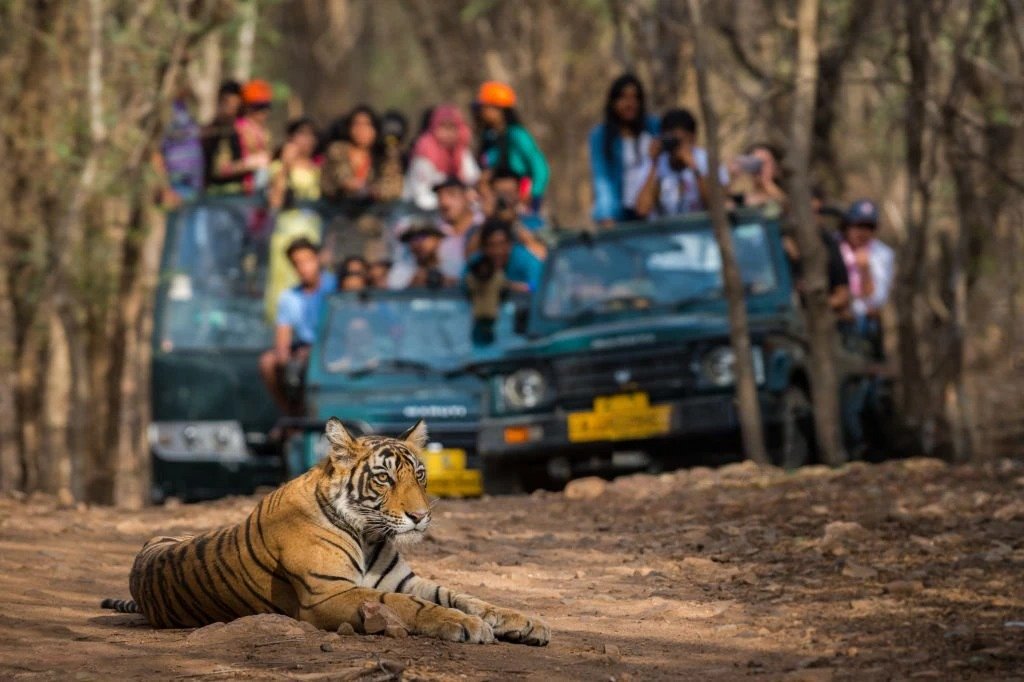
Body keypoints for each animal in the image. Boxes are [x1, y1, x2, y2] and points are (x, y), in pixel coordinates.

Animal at [100, 418, 549, 645]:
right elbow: (411, 606)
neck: (369, 534)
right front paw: (467, 626)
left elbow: (465, 596)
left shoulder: (403, 579)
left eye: (419, 475)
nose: (421, 516)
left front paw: (526, 622)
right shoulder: (327, 593)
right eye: (385, 478)